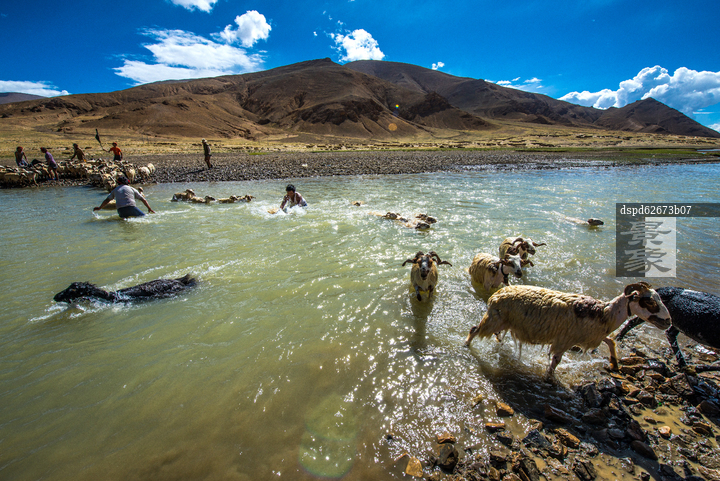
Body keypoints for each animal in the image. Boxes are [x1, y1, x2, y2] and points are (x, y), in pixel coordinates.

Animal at [464, 282, 671, 381]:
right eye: (648, 301)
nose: (668, 321)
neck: (605, 314)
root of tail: (495, 295)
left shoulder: (592, 335)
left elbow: (611, 341)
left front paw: (614, 363)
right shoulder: (565, 340)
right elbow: (556, 361)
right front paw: (550, 378)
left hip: (505, 322)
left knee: (494, 333)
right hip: (495, 319)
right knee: (475, 329)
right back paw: (467, 344)